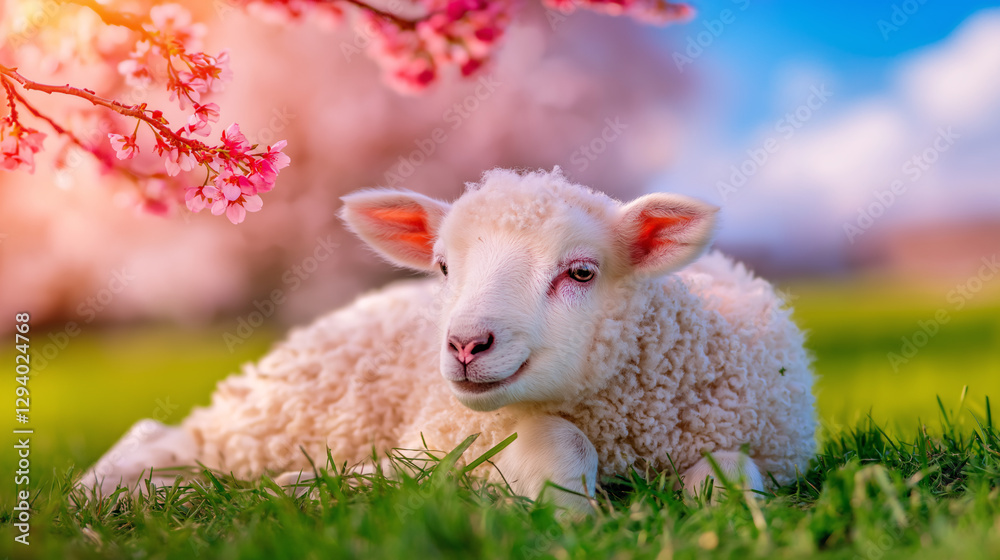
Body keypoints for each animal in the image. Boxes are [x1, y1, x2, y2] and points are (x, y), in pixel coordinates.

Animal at [80, 167, 817, 509]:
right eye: (441, 267)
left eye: (581, 271)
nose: (465, 345)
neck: (623, 424)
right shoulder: (461, 437)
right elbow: (558, 443)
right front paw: (568, 515)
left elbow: (729, 470)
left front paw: (730, 517)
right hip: (285, 413)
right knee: (170, 439)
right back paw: (112, 494)